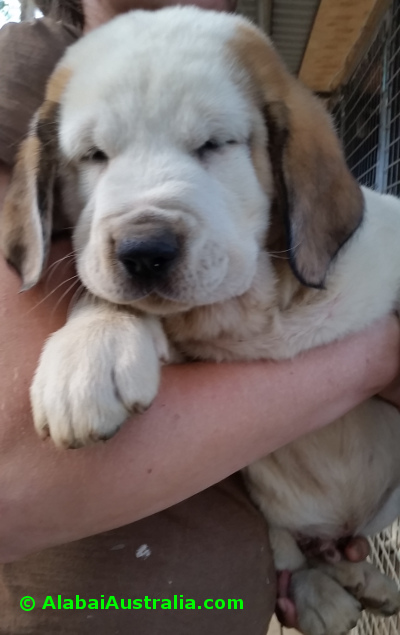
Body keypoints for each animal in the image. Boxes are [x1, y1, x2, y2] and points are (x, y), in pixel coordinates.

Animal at [2, 6, 400, 635]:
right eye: (93, 156)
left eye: (213, 145)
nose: (144, 251)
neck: (253, 311)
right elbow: (105, 292)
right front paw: (89, 350)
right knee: (291, 551)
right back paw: (326, 588)